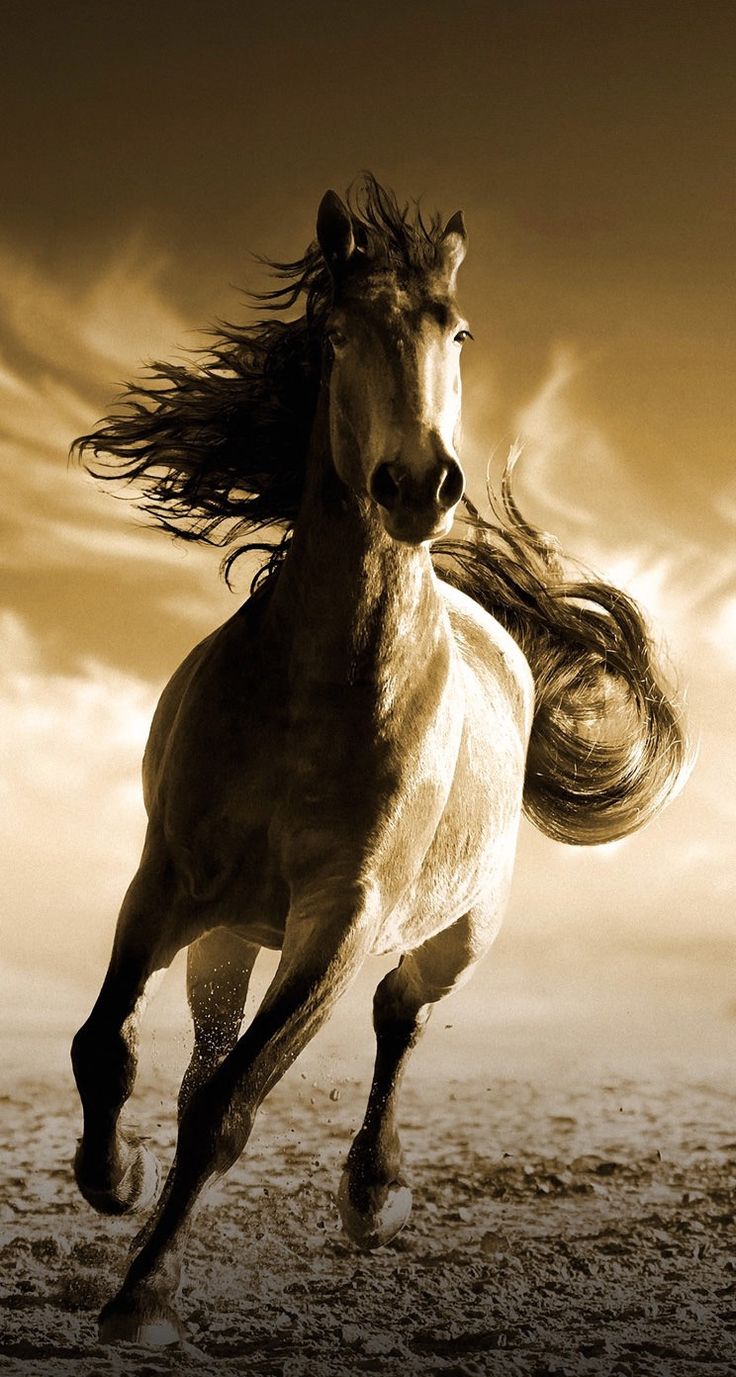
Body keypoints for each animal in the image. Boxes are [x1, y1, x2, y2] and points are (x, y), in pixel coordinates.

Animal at [70, 175, 687, 1345]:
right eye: (337, 330)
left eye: (459, 330)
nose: (418, 483)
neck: (316, 688)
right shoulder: (166, 879)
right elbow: (109, 1047)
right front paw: (111, 1177)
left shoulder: (341, 918)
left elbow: (230, 1108)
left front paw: (144, 1295)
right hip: (232, 931)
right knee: (209, 1038)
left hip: (455, 931)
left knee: (399, 1018)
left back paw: (374, 1193)